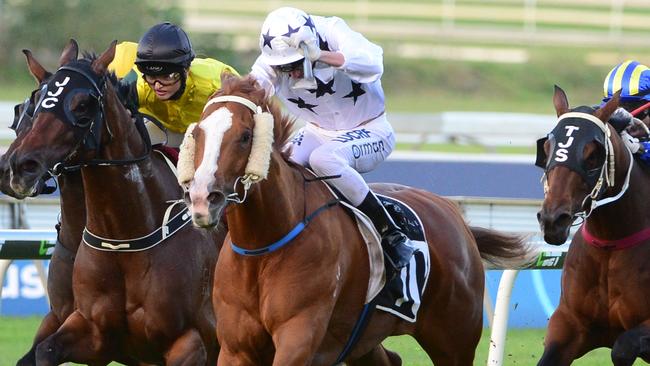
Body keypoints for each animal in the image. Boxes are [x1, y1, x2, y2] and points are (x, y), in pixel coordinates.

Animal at [5, 38, 223, 364]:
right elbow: (43, 351)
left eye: (83, 106)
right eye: (28, 108)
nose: (19, 166)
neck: (124, 237)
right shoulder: (88, 330)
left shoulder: (192, 341)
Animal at [178, 74, 532, 366]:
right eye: (198, 132)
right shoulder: (236, 348)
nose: (203, 198)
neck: (262, 247)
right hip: (361, 338)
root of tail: (453, 215)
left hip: (454, 340)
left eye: (245, 135)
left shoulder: (298, 336)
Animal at [536, 86, 650, 366]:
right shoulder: (568, 324)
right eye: (547, 146)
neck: (611, 243)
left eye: (593, 154)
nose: (553, 219)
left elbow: (622, 349)